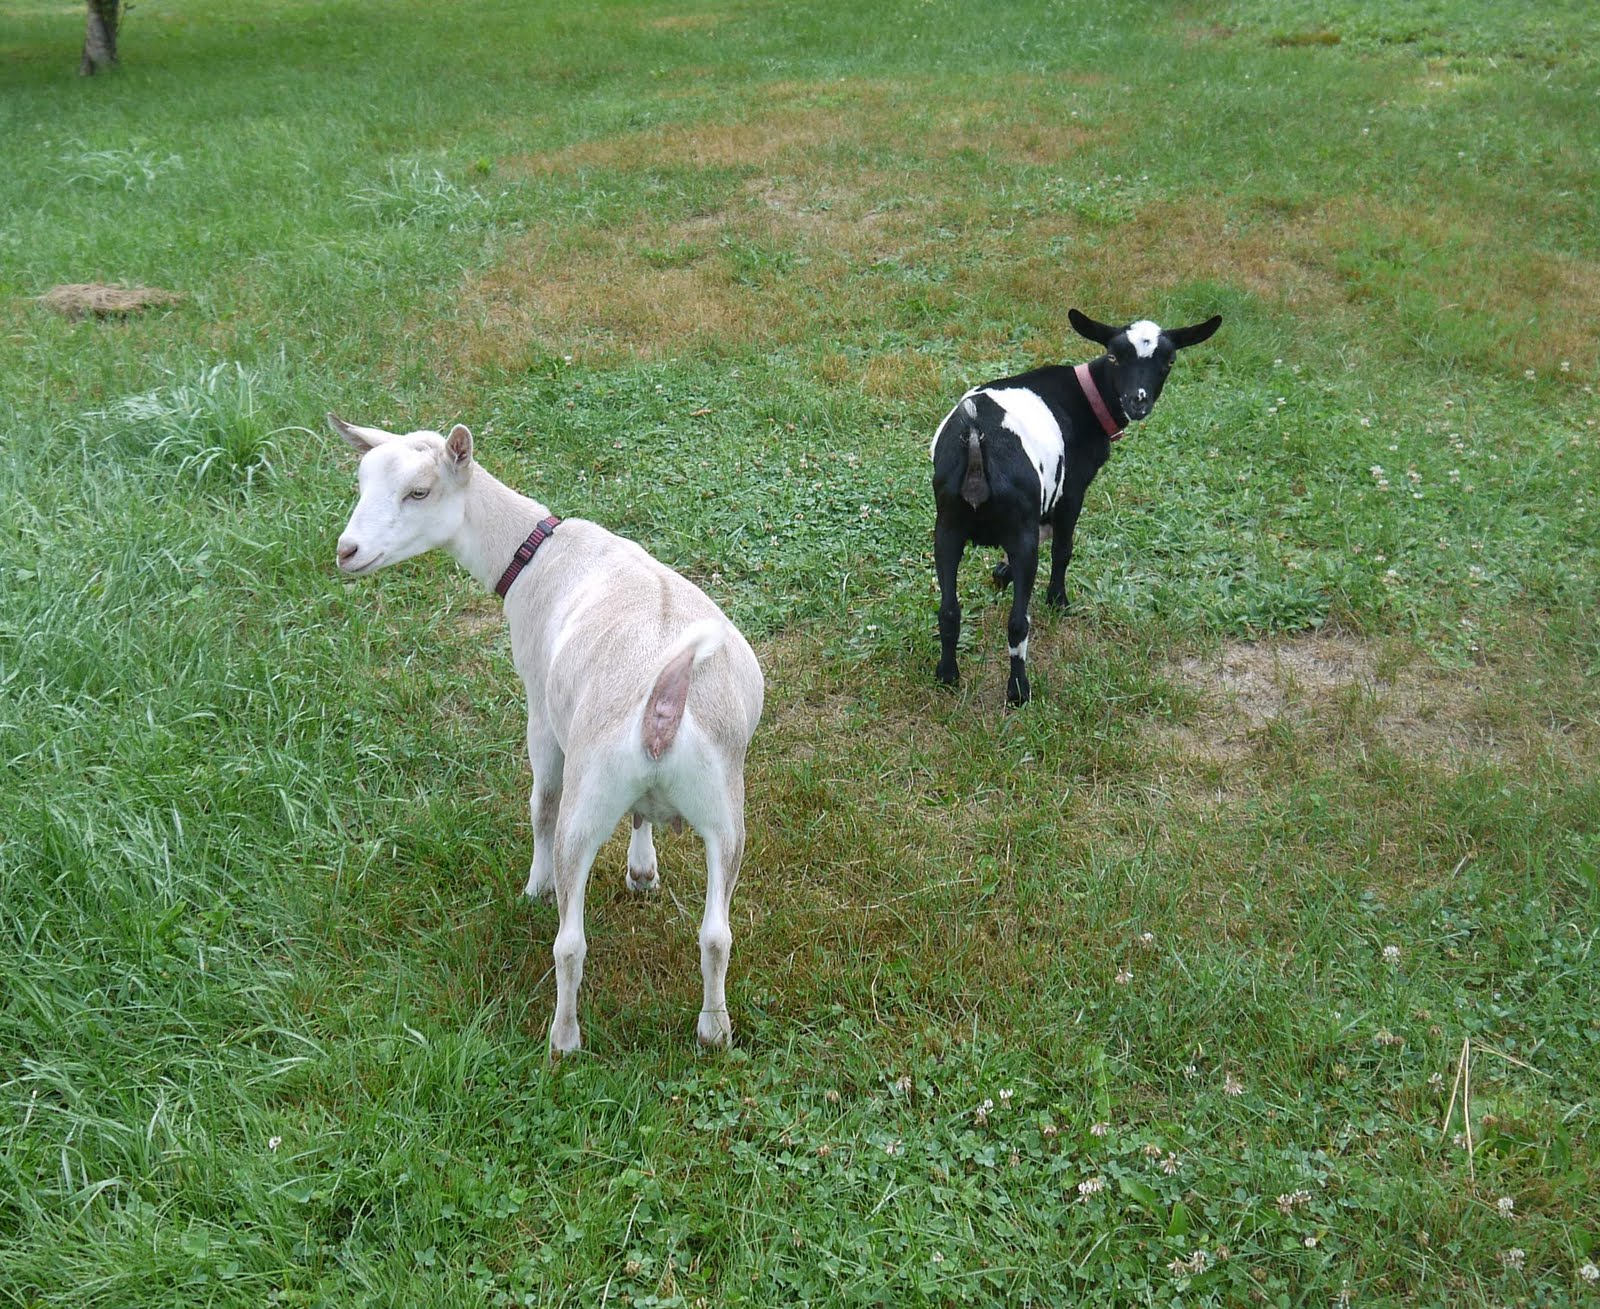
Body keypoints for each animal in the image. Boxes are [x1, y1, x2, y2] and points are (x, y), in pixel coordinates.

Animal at [328, 414, 764, 1054]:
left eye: (419, 492)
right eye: (360, 482)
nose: (347, 552)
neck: (534, 553)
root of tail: (665, 700)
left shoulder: (538, 699)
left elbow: (540, 801)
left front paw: (534, 886)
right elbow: (641, 817)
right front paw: (642, 871)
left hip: (589, 802)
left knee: (570, 941)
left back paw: (563, 1038)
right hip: (725, 811)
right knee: (716, 935)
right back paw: (714, 1030)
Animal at [930, 309, 1222, 705]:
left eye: (1170, 360)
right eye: (1114, 356)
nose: (1138, 401)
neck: (1086, 397)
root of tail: (975, 436)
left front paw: (1001, 572)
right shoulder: (1071, 492)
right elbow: (1063, 548)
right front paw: (1059, 600)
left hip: (947, 527)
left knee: (948, 611)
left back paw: (947, 675)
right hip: (1018, 533)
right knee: (1018, 623)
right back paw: (1019, 691)